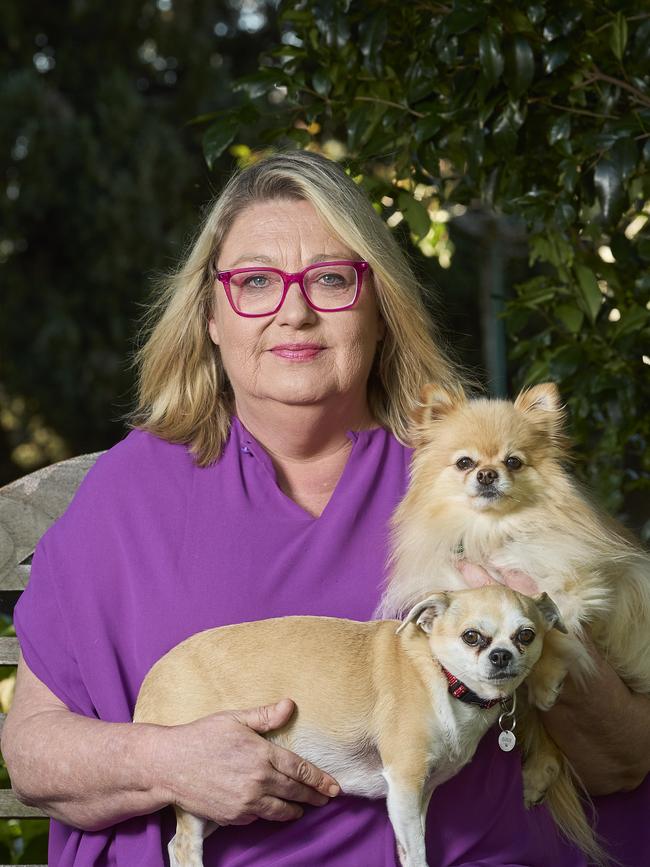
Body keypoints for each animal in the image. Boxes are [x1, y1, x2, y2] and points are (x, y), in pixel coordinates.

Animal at [133, 584, 560, 867]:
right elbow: (417, 851)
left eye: (526, 635)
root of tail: (151, 682)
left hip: (219, 802)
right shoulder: (404, 784)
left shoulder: (420, 795)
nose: (501, 655)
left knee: (175, 844)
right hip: (202, 778)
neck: (444, 680)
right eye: (472, 637)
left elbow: (412, 845)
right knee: (184, 846)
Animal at [374, 384, 648, 864]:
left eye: (514, 462)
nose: (487, 474)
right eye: (465, 463)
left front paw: (546, 676)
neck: (492, 531)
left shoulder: (571, 587)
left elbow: (549, 629)